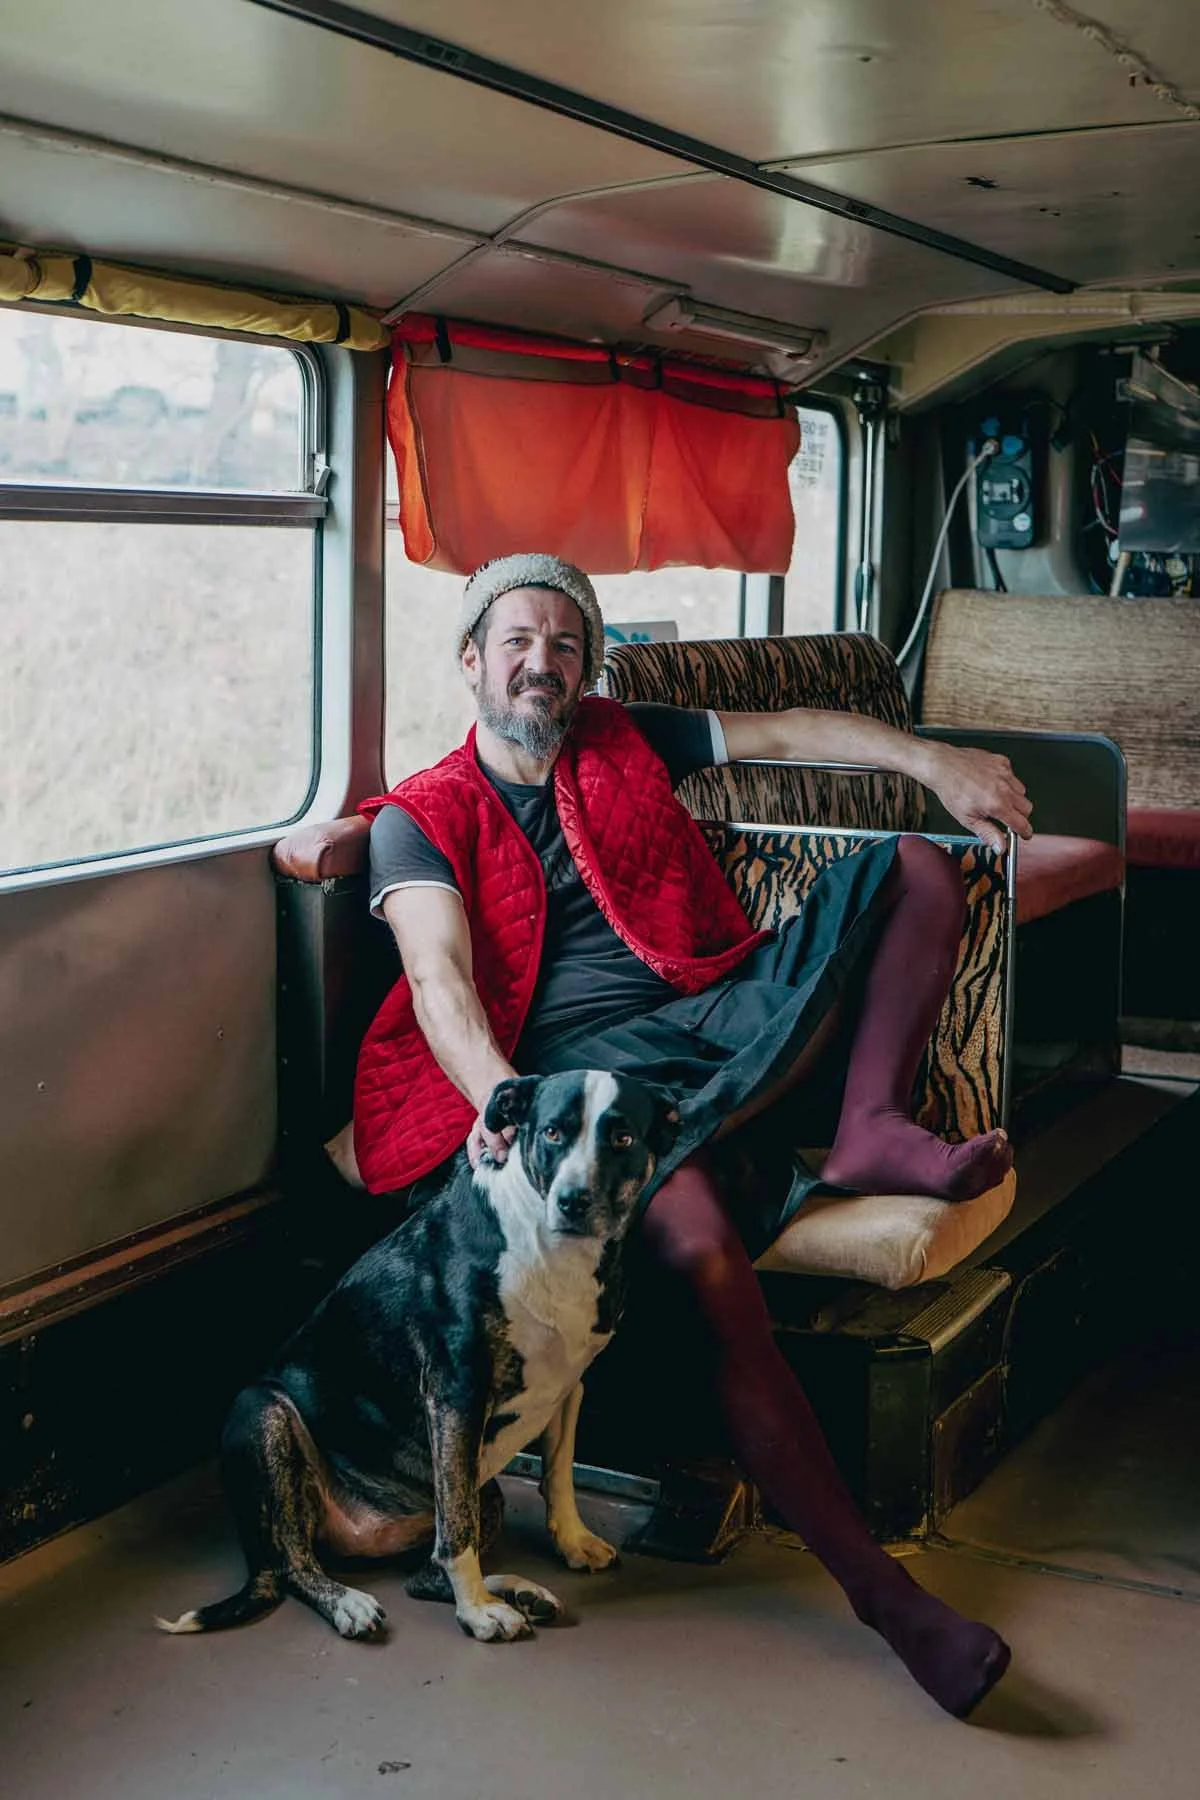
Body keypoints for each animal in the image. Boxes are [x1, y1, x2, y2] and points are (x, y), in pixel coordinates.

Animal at [157, 1069, 678, 1644]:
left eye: (622, 1138)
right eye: (552, 1133)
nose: (573, 1200)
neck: (548, 1250)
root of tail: (364, 1531)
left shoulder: (570, 1383)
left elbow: (559, 1472)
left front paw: (572, 1541)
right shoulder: (456, 1393)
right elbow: (457, 1532)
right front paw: (475, 1611)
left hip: (486, 1492)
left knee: (424, 1571)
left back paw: (516, 1592)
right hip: (263, 1411)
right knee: (298, 1564)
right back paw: (356, 1601)